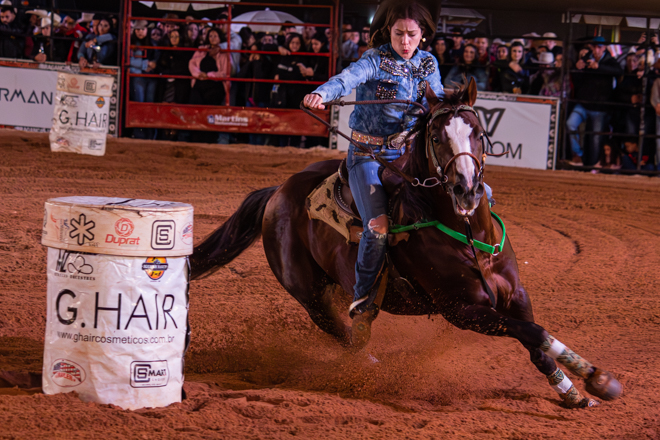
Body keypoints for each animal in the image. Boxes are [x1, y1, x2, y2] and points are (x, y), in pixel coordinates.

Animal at [188, 80, 620, 410]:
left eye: (478, 132)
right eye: (436, 136)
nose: (467, 189)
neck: (468, 234)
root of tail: (277, 192)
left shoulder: (515, 293)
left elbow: (536, 340)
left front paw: (573, 391)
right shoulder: (463, 311)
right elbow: (534, 333)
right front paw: (599, 379)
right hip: (310, 295)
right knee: (345, 335)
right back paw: (371, 369)